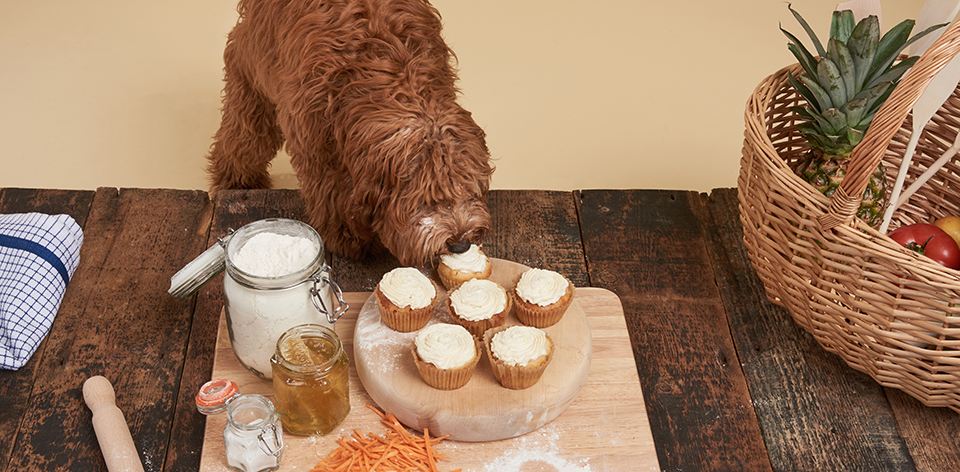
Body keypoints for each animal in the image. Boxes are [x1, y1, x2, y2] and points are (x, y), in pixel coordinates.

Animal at [209, 0, 496, 266]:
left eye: (470, 191)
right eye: (428, 200)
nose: (460, 244)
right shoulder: (318, 145)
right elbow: (329, 192)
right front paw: (348, 237)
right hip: (251, 73)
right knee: (244, 136)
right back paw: (237, 182)